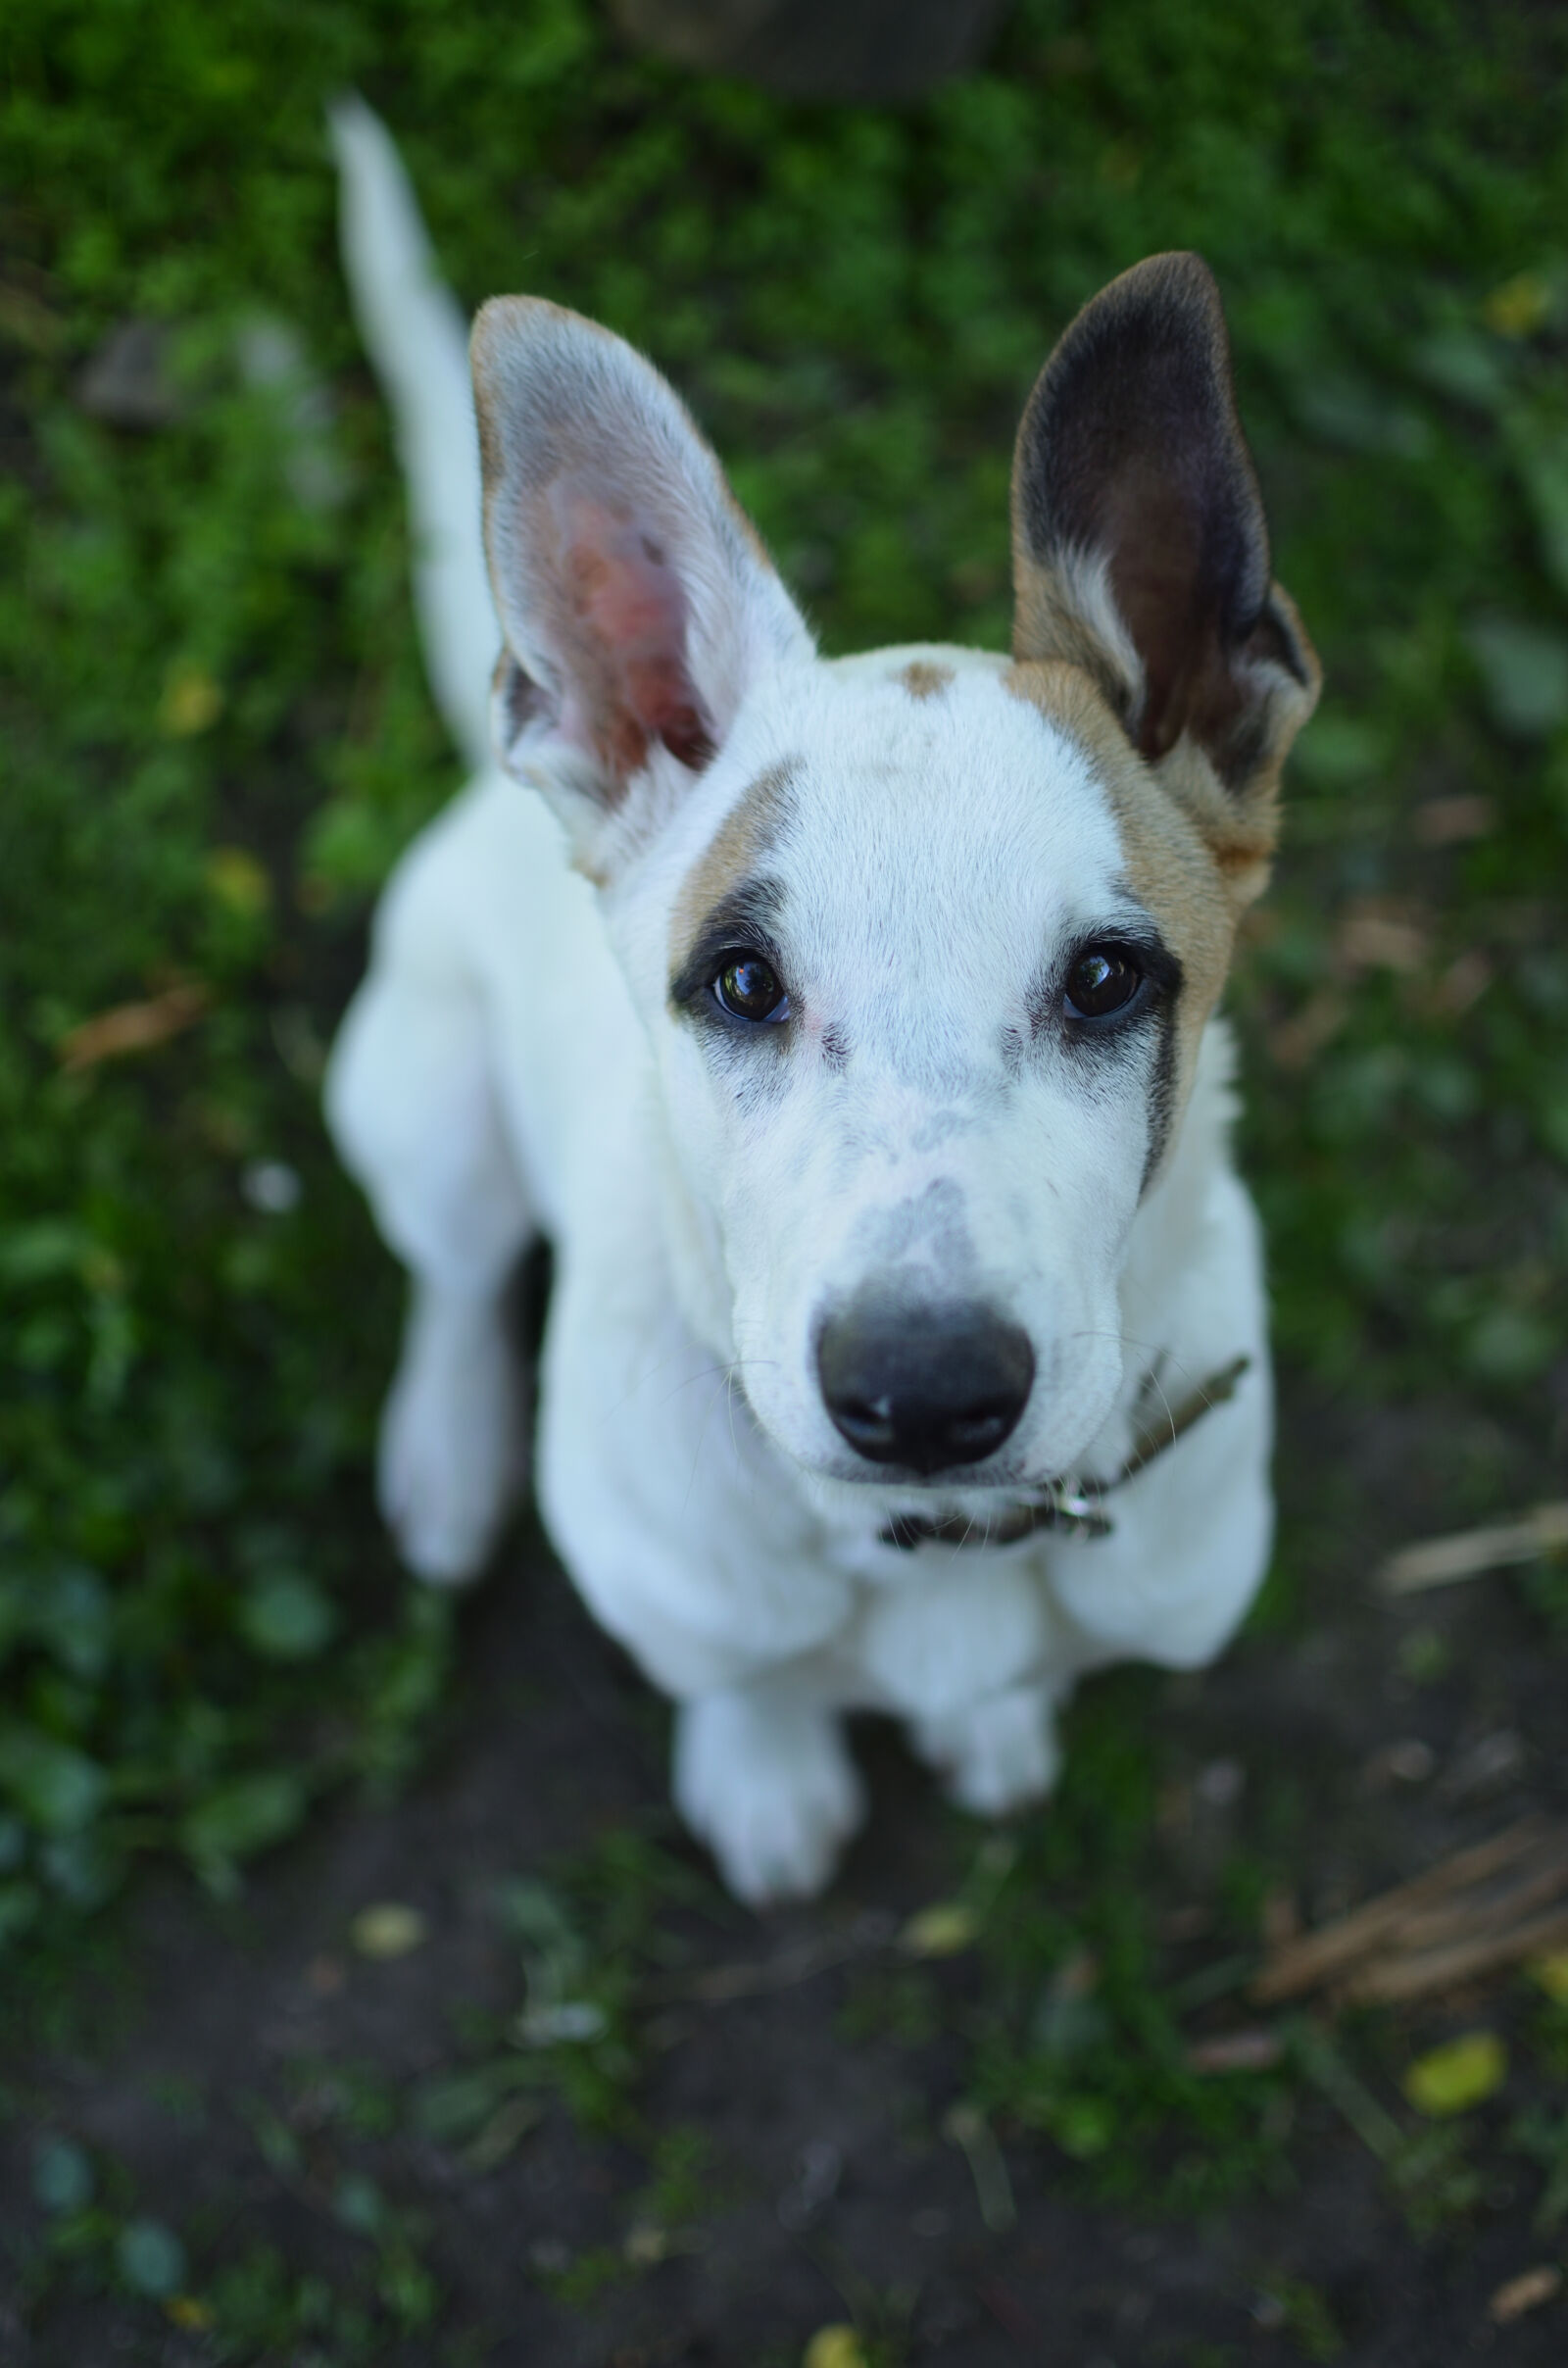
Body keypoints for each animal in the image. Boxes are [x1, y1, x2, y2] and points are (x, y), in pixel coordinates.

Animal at [328, 101, 1326, 1903]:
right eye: (741, 981)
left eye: (1105, 978)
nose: (923, 1397)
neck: (937, 1557)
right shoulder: (679, 1593)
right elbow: (738, 1673)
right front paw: (764, 1768)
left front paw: (994, 1722)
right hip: (421, 1098)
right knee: (452, 1271)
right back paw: (447, 1453)